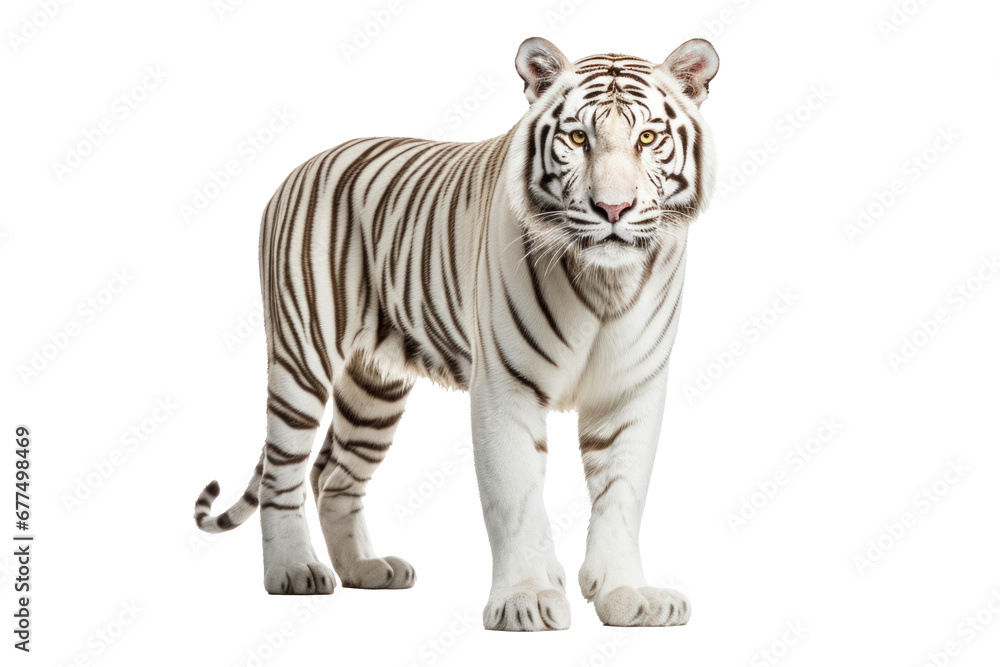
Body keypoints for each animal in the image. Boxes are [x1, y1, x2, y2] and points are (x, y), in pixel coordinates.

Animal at [194, 36, 719, 631]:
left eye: (647, 137)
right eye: (578, 137)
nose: (613, 208)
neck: (605, 280)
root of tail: (302, 167)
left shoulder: (630, 391)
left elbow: (622, 499)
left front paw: (628, 595)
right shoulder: (505, 387)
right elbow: (514, 497)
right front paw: (526, 599)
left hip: (375, 388)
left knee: (333, 476)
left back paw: (366, 569)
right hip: (300, 356)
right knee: (283, 472)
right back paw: (293, 570)